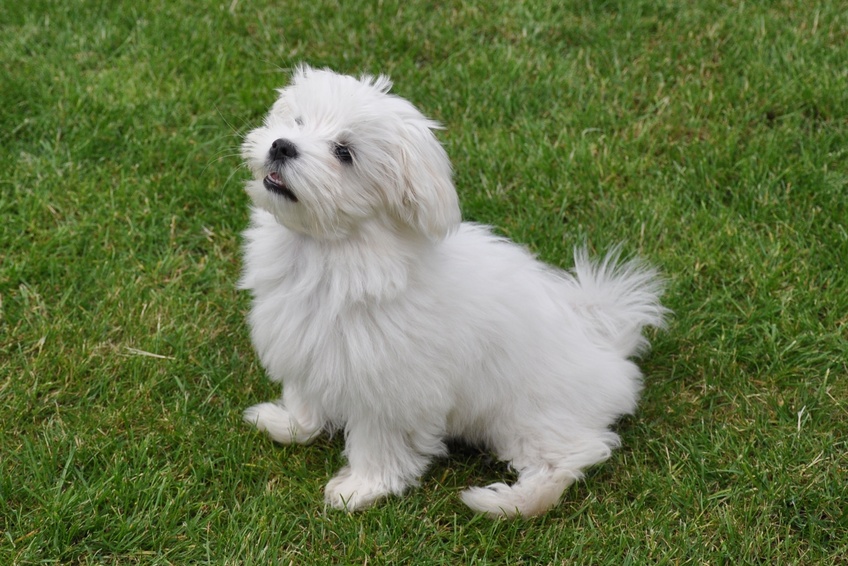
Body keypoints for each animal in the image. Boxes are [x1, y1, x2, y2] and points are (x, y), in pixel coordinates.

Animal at [240, 66, 668, 520]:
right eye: (297, 122)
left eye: (344, 152)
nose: (282, 145)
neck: (334, 253)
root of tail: (608, 345)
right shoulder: (308, 345)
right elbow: (306, 396)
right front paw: (288, 424)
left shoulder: (390, 387)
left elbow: (378, 442)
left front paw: (361, 488)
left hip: (531, 414)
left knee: (573, 455)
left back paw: (503, 502)